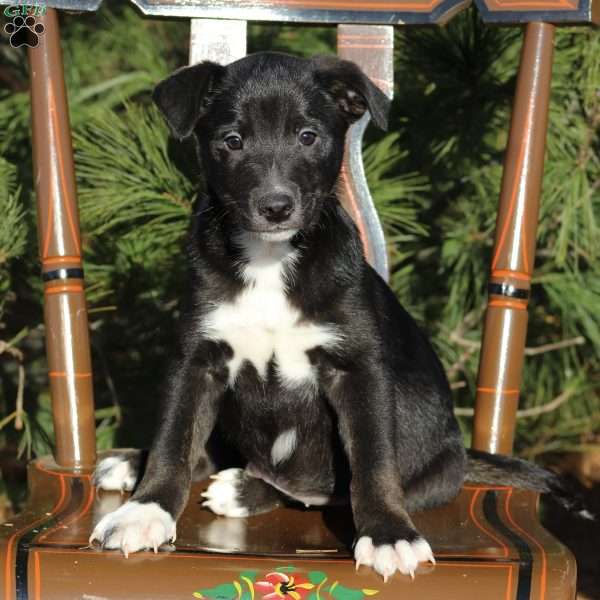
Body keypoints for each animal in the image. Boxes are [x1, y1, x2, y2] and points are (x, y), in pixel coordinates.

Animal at [89, 52, 592, 580]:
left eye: (308, 136)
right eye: (232, 140)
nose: (275, 206)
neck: (270, 261)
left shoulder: (357, 369)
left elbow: (372, 461)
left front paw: (389, 534)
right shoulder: (196, 359)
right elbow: (175, 438)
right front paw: (145, 510)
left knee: (321, 491)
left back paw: (245, 488)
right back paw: (135, 464)